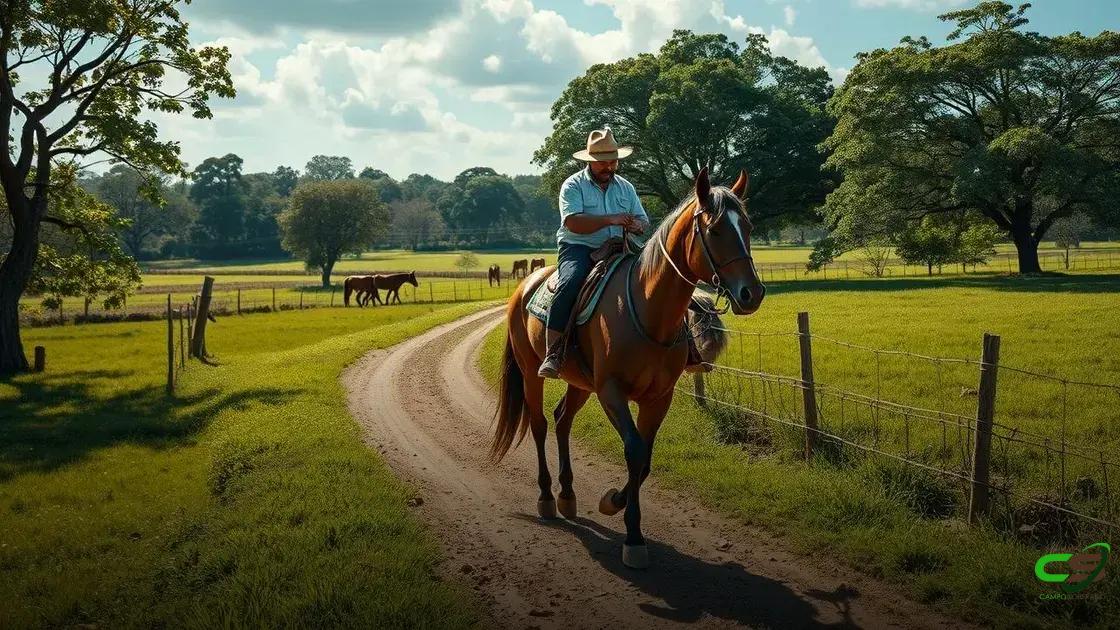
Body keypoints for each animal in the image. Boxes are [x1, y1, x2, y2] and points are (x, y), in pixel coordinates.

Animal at [490, 168, 764, 569]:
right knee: (540, 424)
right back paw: (547, 497)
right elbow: (634, 451)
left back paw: (568, 495)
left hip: (580, 383)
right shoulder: (612, 392)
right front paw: (631, 533)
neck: (647, 309)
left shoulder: (658, 397)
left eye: (747, 226)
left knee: (562, 420)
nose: (752, 293)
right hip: (531, 373)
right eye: (714, 230)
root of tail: (526, 284)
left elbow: (645, 459)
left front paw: (616, 505)